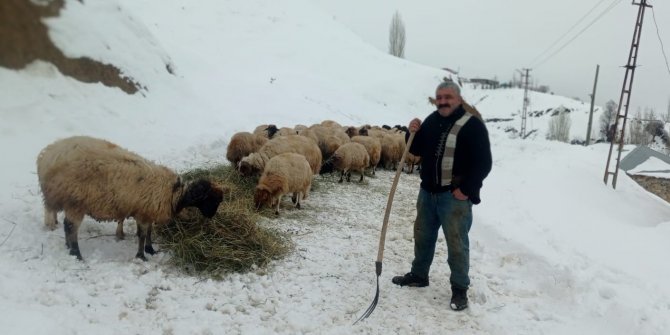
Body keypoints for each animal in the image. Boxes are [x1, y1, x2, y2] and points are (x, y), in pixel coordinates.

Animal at [37, 136, 226, 262]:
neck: (174, 194)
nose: (211, 216)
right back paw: (76, 253)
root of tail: (46, 155)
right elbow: (142, 235)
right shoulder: (144, 213)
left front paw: (150, 250)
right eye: (212, 199)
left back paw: (69, 247)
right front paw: (141, 255)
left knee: (67, 226)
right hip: (74, 200)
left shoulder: (147, 211)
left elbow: (148, 232)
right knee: (71, 227)